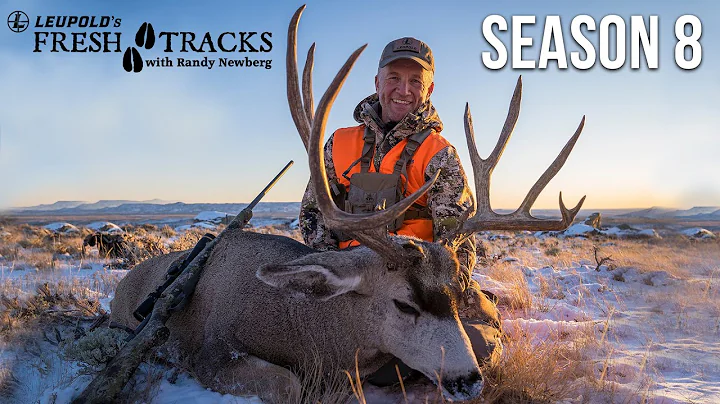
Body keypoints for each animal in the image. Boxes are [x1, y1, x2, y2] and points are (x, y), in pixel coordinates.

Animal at [108, 5, 585, 403]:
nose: (469, 380)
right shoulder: (212, 350)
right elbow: (286, 383)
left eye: (456, 296)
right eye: (404, 304)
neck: (306, 327)